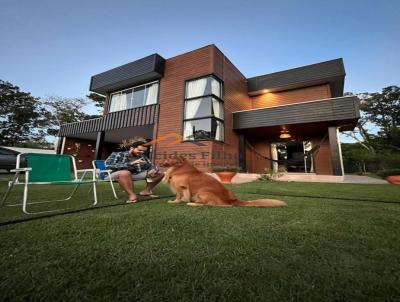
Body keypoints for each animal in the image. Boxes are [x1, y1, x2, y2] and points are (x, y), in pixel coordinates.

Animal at [160, 156, 288, 208]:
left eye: (169, 158)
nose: (159, 161)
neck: (179, 168)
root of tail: (231, 200)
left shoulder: (180, 187)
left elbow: (178, 196)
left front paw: (175, 202)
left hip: (203, 192)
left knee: (212, 205)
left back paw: (193, 204)